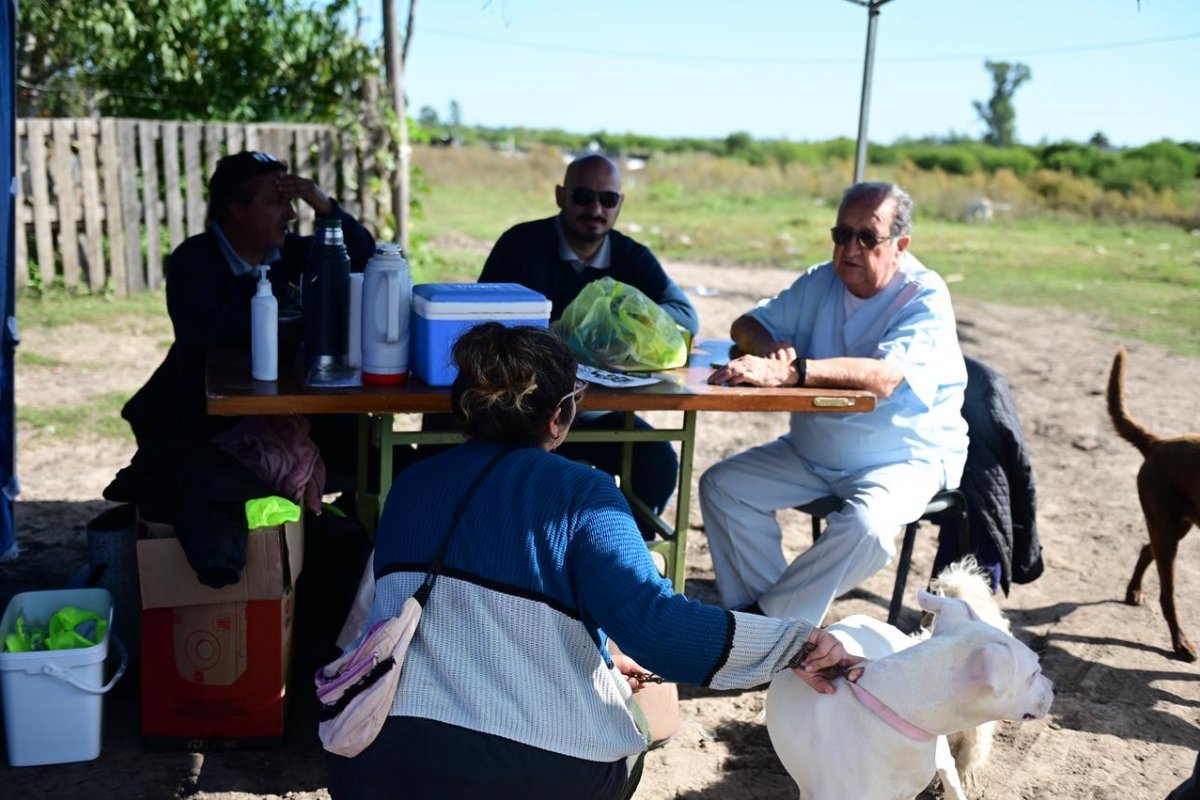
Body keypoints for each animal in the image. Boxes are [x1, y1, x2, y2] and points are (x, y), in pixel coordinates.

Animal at [1107, 345, 1200, 662]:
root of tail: (1159, 443)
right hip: (1166, 526)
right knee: (1167, 594)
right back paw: (1180, 642)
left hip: (1177, 526)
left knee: (1146, 550)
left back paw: (1133, 591)